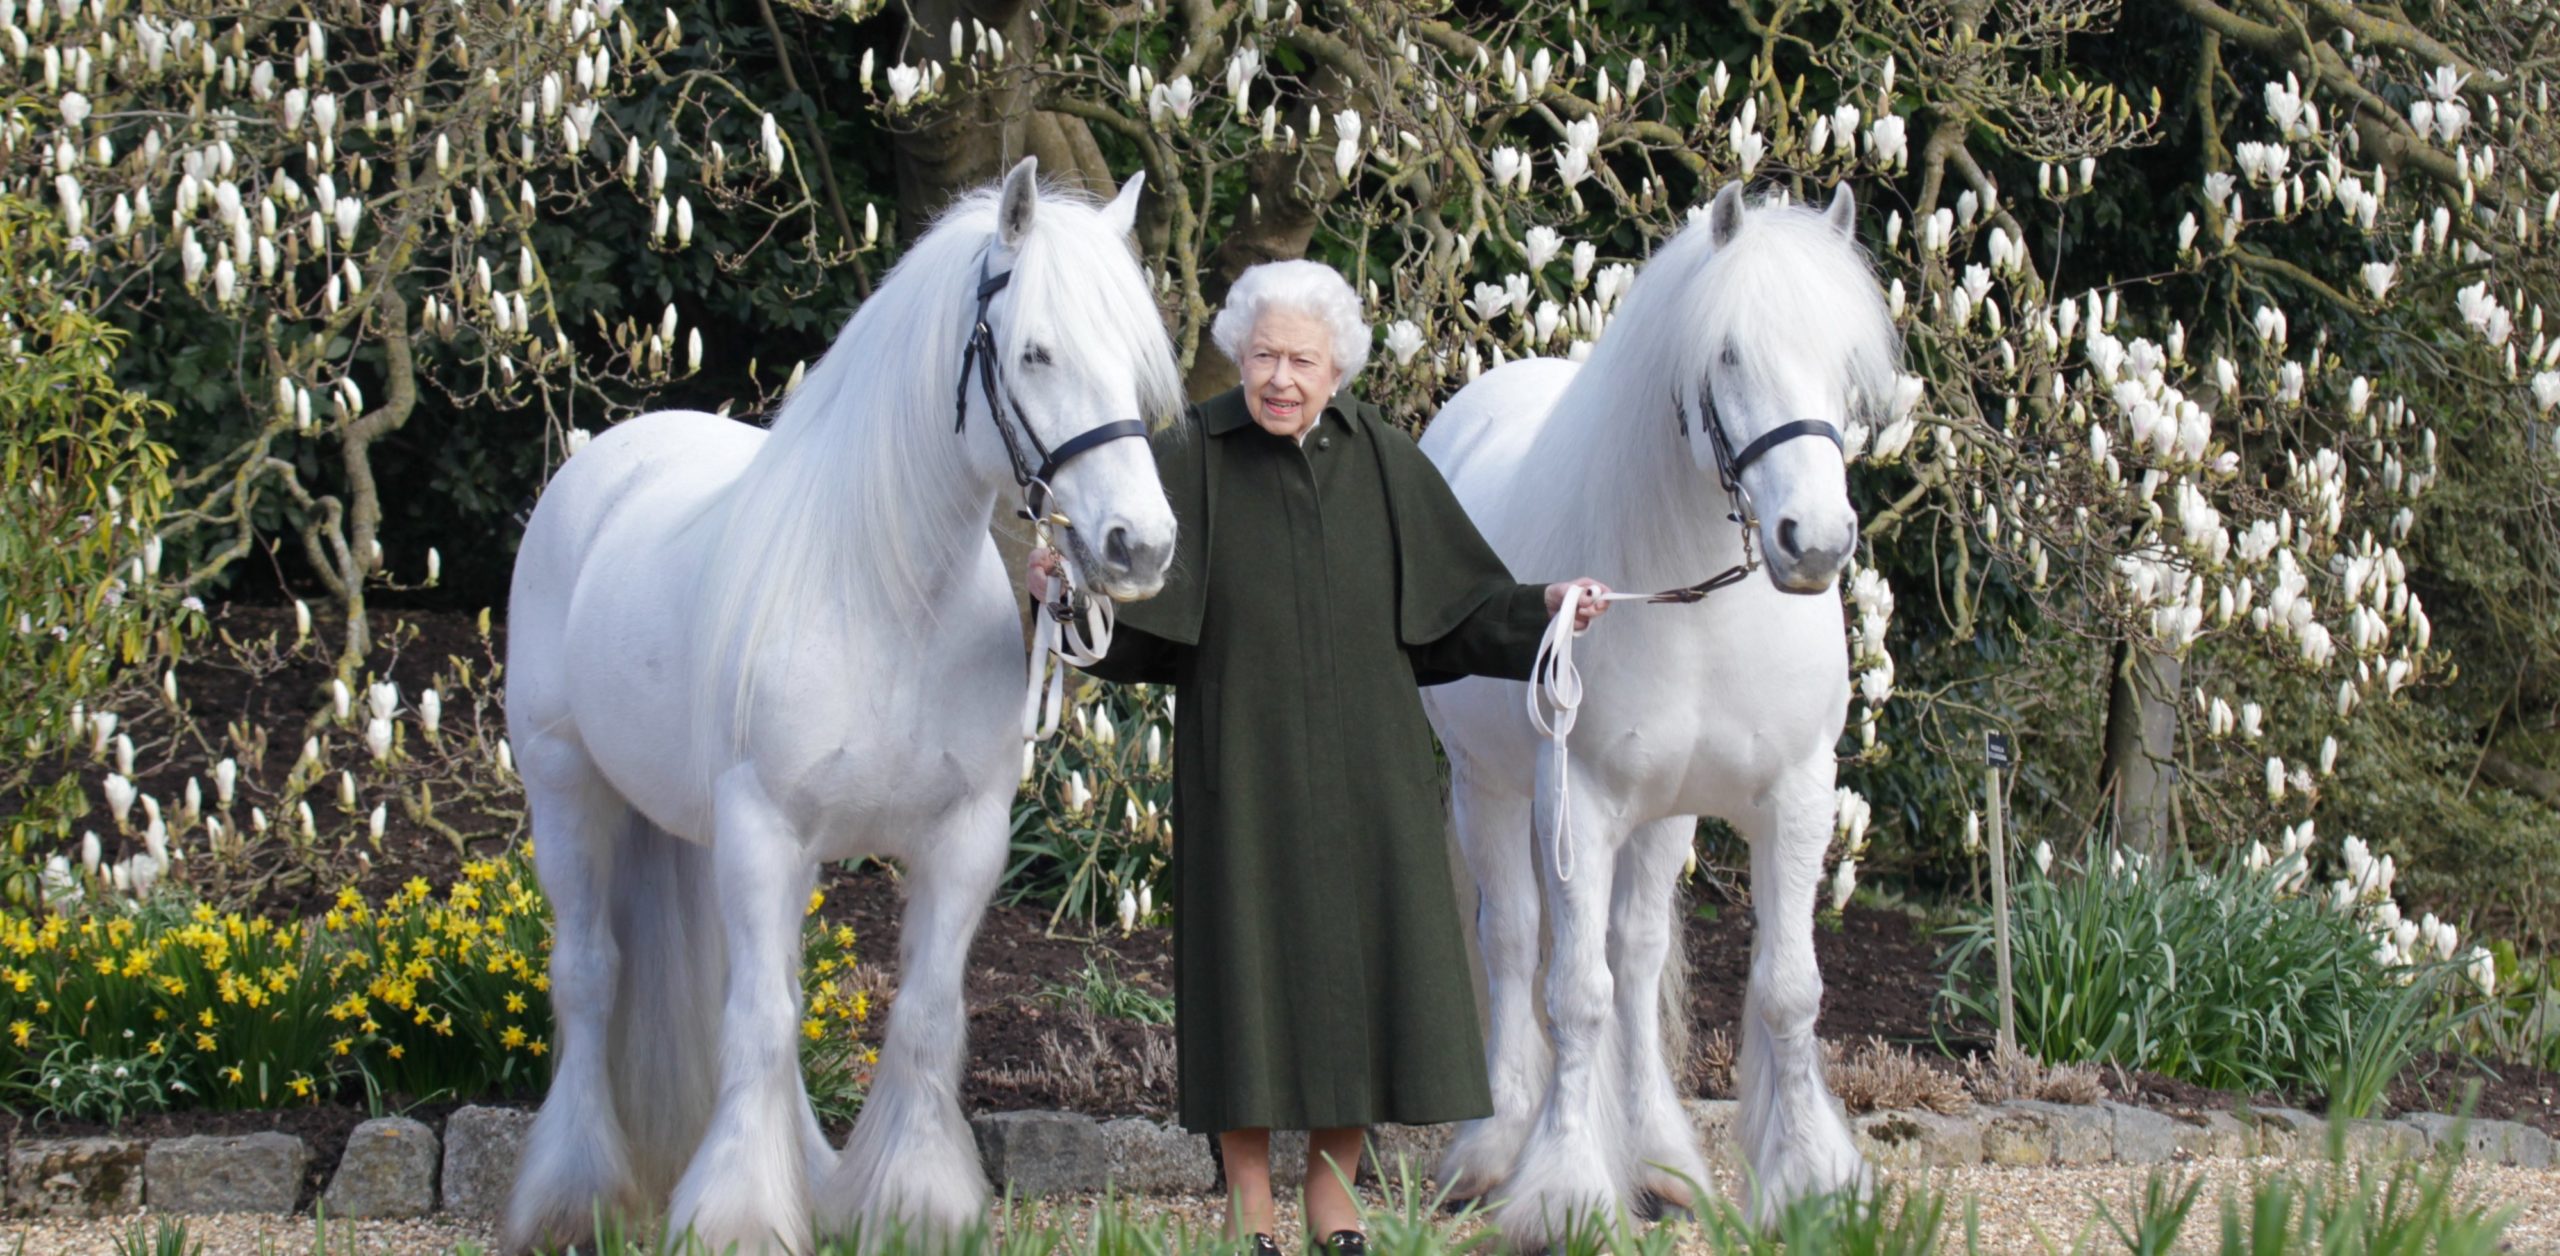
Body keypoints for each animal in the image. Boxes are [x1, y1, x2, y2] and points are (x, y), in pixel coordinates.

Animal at [499, 157, 1181, 1255]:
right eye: (1035, 351)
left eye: (1131, 360)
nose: (1141, 544)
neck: (888, 597)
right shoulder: (764, 830)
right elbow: (761, 1021)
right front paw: (736, 1215)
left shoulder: (964, 837)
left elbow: (924, 1016)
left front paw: (915, 1201)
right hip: (568, 793)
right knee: (592, 974)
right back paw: (574, 1194)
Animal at [1417, 181, 1900, 1244]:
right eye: (1728, 354)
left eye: (1845, 361)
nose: (1815, 541)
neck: (1697, 602)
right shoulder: (1581, 803)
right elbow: (1573, 994)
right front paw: (1563, 1191)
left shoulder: (1795, 797)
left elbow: (1786, 990)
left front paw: (1810, 1180)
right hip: (1490, 791)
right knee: (1513, 943)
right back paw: (1494, 1147)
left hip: (1663, 816)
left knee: (1635, 960)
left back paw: (1660, 1162)